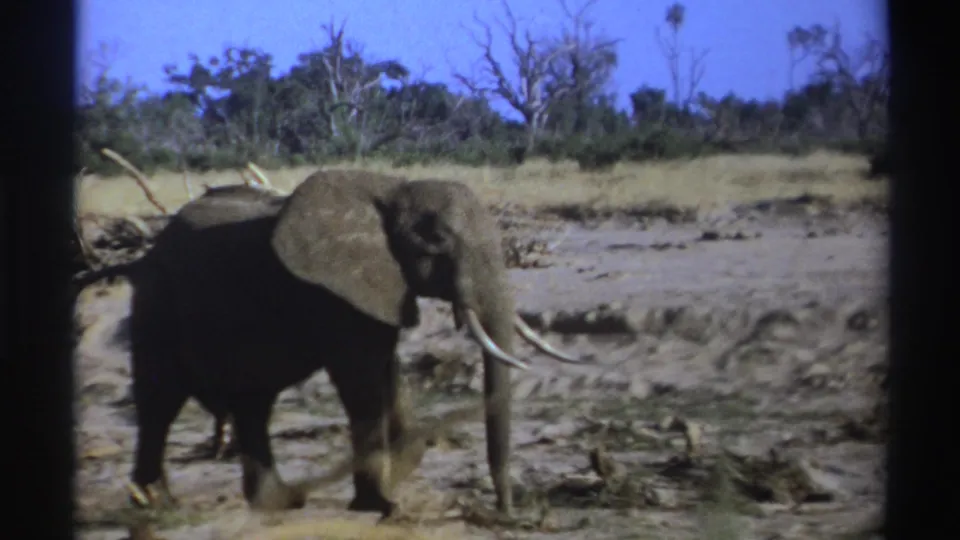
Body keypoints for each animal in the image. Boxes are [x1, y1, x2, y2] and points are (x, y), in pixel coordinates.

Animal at [73, 171, 585, 517]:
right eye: (437, 240)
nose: (507, 512)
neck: (393, 190)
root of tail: (145, 251)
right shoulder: (335, 292)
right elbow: (361, 381)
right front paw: (382, 502)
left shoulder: (377, 288)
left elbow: (388, 372)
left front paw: (394, 478)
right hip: (158, 302)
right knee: (160, 400)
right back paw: (154, 504)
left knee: (251, 403)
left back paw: (276, 502)